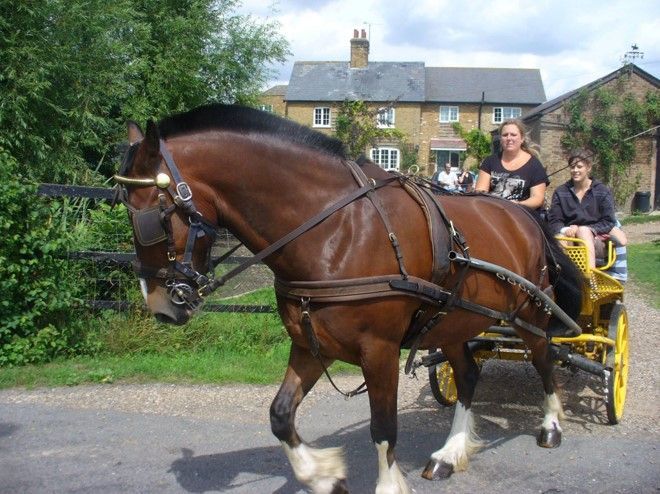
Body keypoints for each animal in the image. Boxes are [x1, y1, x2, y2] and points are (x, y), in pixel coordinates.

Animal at [114, 102, 584, 492]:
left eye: (154, 215)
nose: (160, 305)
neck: (335, 230)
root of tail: (524, 216)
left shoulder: (379, 350)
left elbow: (383, 428)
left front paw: (386, 485)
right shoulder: (309, 342)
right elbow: (280, 415)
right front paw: (323, 475)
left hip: (531, 312)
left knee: (544, 361)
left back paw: (551, 427)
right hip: (452, 320)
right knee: (468, 375)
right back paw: (448, 455)